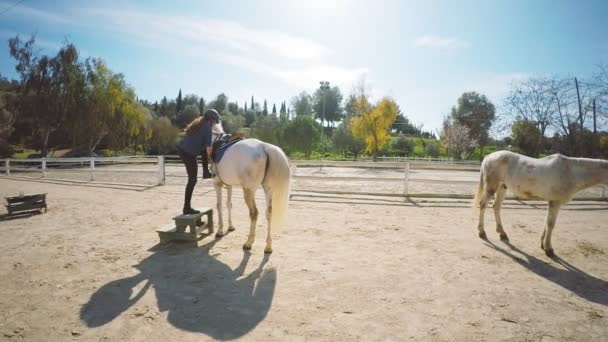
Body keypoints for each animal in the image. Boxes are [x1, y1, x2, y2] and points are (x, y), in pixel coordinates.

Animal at [211, 124, 290, 252]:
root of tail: (264, 146)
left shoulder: (217, 184)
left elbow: (219, 205)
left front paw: (220, 231)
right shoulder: (229, 185)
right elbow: (229, 204)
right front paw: (230, 226)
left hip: (249, 191)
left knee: (254, 213)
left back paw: (248, 243)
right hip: (268, 189)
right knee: (269, 213)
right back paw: (268, 246)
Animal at [476, 150, 608, 256]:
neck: (571, 172)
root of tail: (488, 156)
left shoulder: (551, 202)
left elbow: (546, 222)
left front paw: (543, 245)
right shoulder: (555, 202)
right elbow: (550, 224)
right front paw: (549, 249)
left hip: (502, 187)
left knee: (496, 207)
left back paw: (502, 233)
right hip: (491, 188)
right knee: (483, 205)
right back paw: (482, 232)